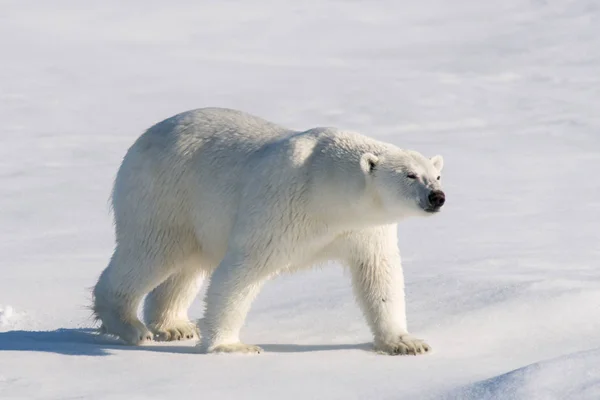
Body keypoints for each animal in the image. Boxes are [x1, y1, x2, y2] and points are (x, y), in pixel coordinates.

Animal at [91, 107, 442, 356]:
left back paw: (175, 326)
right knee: (150, 252)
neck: (329, 188)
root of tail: (143, 137)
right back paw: (130, 326)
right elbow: (243, 270)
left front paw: (406, 343)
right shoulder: (281, 207)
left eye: (436, 175)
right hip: (165, 195)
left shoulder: (364, 229)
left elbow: (379, 274)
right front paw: (232, 346)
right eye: (410, 175)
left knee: (186, 267)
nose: (437, 197)